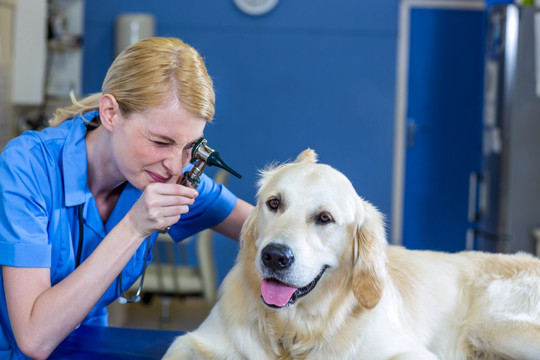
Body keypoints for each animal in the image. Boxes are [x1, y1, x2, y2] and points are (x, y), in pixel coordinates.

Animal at [163, 149, 540, 360]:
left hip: (494, 327)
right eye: (274, 203)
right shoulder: (195, 341)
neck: (293, 331)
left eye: (324, 218)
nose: (274, 257)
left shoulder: (411, 353)